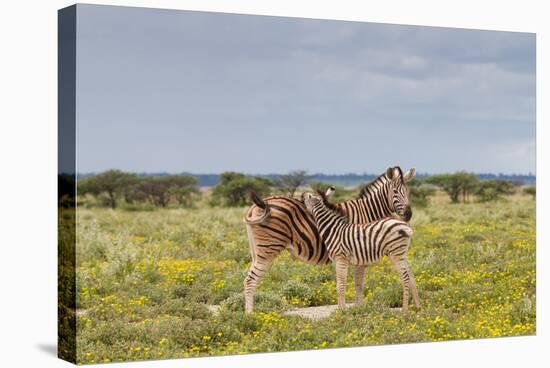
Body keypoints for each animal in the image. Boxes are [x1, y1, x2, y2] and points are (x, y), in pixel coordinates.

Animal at [244, 167, 416, 314]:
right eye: (395, 192)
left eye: (408, 191)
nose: (408, 214)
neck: (367, 212)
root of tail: (257, 205)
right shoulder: (361, 253)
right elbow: (359, 284)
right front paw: (359, 309)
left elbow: (359, 284)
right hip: (268, 248)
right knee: (251, 280)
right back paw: (250, 316)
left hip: (257, 250)